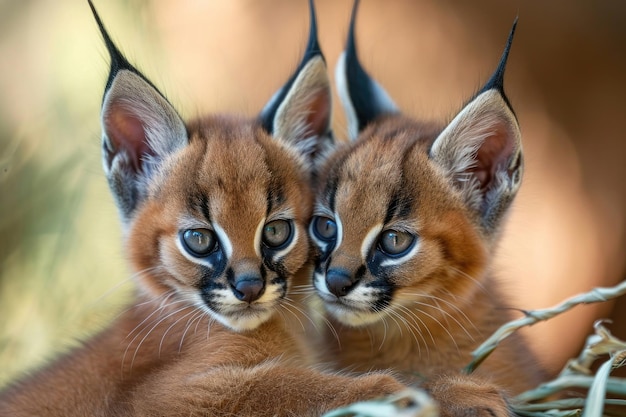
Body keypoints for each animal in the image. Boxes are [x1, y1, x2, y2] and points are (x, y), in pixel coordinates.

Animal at [0, 1, 402, 414]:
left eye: (276, 231)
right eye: (199, 239)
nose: (249, 288)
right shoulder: (164, 397)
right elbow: (283, 387)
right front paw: (391, 387)